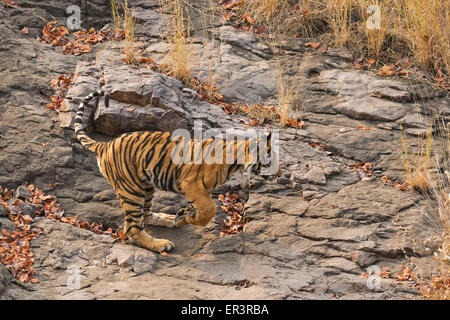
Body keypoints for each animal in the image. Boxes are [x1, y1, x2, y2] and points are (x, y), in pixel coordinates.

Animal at [74, 89, 280, 252]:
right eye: (270, 158)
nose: (278, 174)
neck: (236, 158)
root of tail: (106, 144)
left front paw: (184, 214)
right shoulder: (192, 185)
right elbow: (209, 210)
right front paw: (189, 216)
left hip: (146, 185)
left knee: (146, 215)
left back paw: (168, 219)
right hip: (131, 189)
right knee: (132, 226)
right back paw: (160, 244)